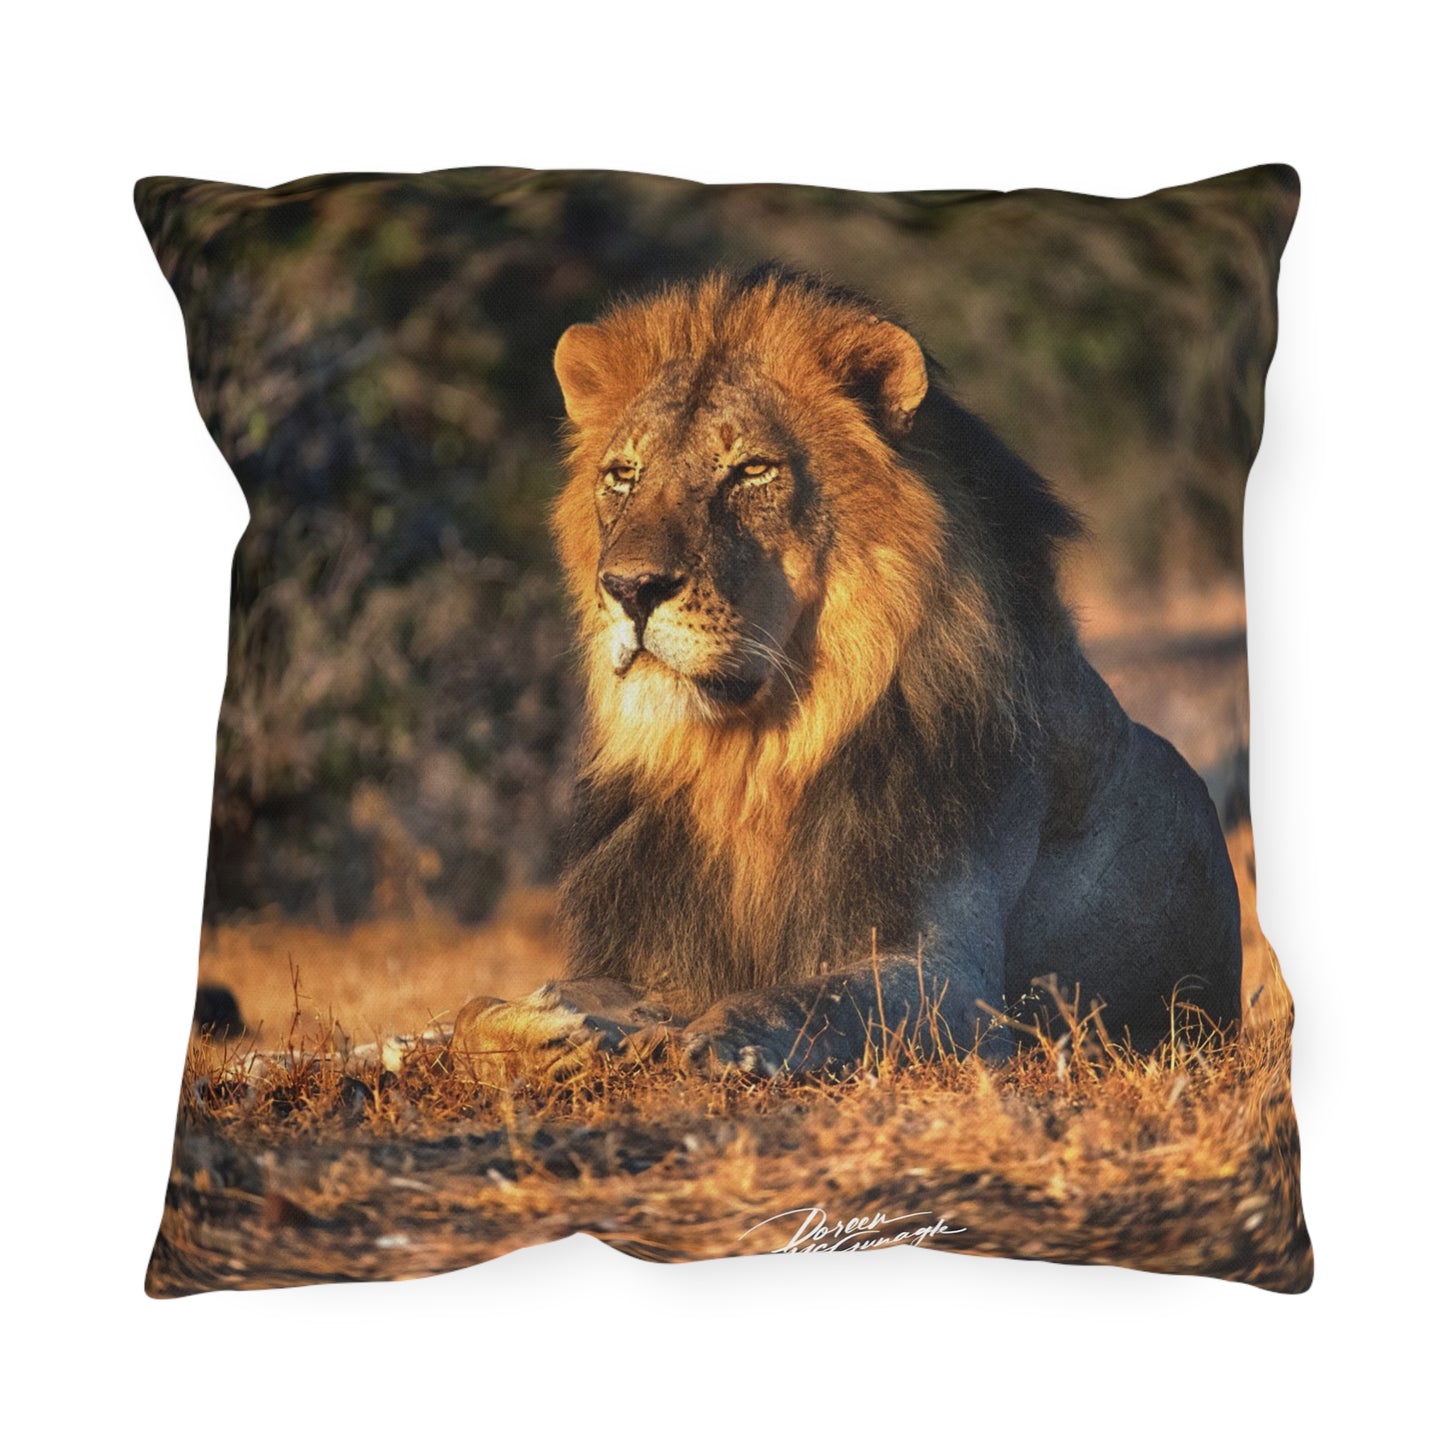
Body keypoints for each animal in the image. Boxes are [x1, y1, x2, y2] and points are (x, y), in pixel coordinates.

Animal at [451, 269, 1241, 1079]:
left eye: (752, 471)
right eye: (622, 475)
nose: (629, 588)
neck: (749, 760)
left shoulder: (952, 976)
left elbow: (802, 998)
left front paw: (713, 1042)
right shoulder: (658, 958)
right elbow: (469, 1011)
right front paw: (553, 1023)